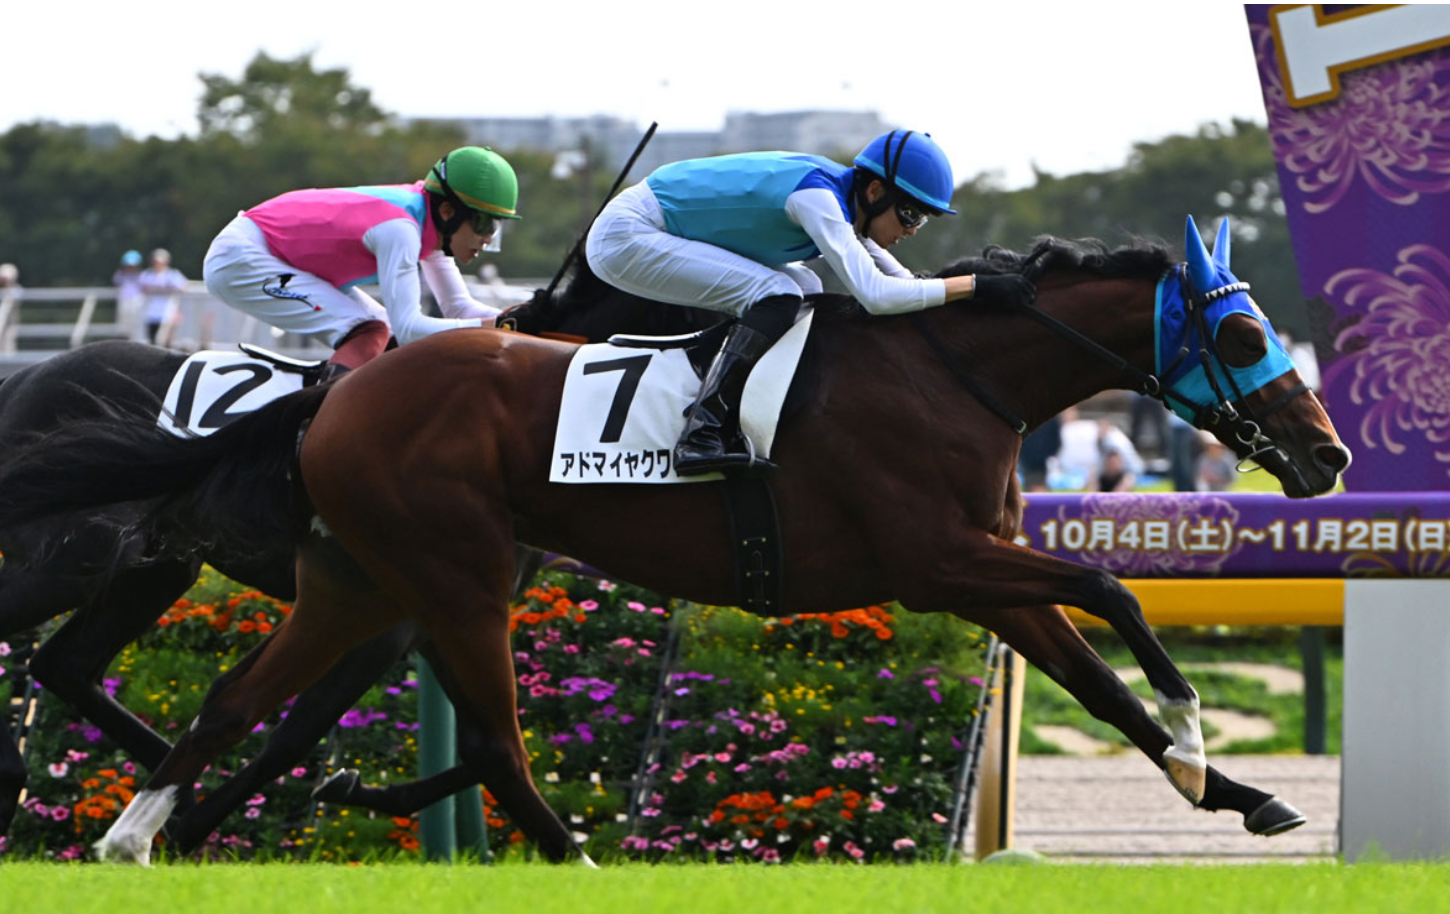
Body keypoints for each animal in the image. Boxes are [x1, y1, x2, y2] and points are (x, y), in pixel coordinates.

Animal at [0, 216, 1350, 865]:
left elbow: (1093, 672)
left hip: (358, 579)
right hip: (448, 576)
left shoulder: (980, 575)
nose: (1328, 454)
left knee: (233, 696)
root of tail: (331, 397)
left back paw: (136, 831)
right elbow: (1112, 591)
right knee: (491, 738)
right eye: (1242, 337)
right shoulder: (936, 560)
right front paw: (1195, 736)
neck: (952, 374)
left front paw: (1235, 790)